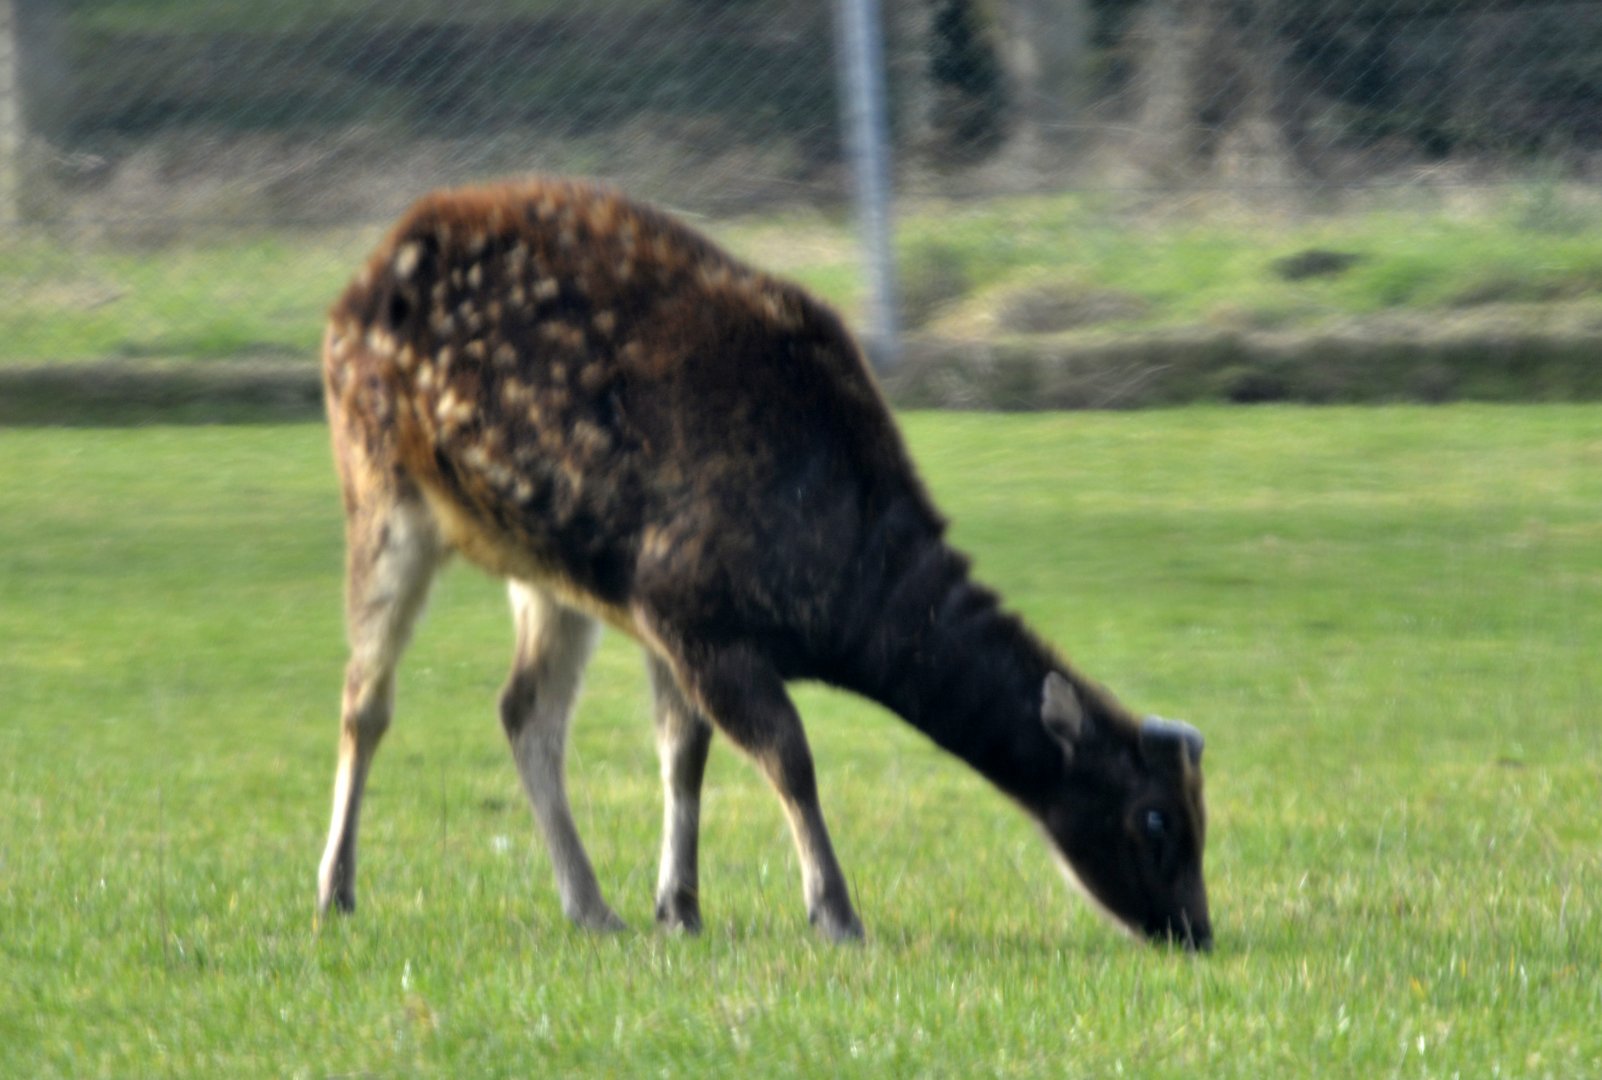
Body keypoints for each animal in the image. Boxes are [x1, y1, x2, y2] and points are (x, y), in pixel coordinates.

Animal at [316, 178, 1212, 950]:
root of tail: (353, 288)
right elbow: (789, 755)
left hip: (542, 564)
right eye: (1155, 818)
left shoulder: (657, 612)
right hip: (381, 487)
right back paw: (335, 888)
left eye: (1203, 815)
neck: (838, 602)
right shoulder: (688, 605)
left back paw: (591, 905)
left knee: (523, 710)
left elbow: (683, 752)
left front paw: (678, 907)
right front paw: (836, 913)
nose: (1196, 930)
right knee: (365, 695)